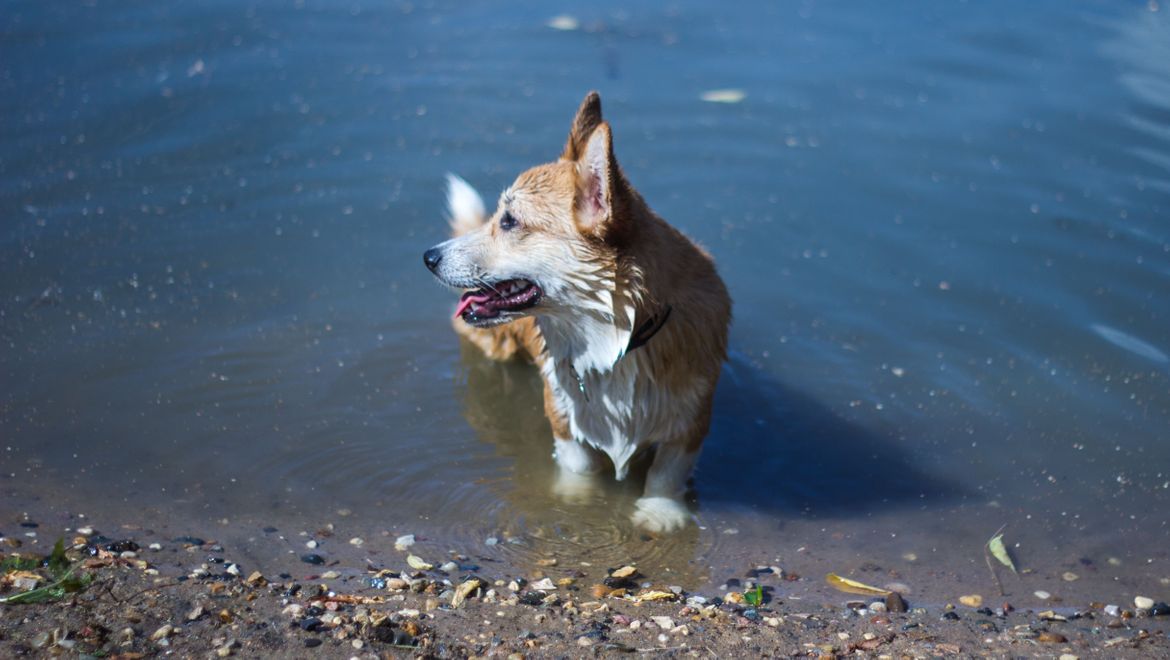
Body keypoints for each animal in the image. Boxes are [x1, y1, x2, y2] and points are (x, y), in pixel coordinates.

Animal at [421, 93, 730, 533]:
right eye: (499, 216)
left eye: (509, 221)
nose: (428, 257)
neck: (616, 340)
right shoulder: (565, 420)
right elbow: (580, 471)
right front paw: (576, 505)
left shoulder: (690, 422)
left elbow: (665, 476)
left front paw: (660, 515)